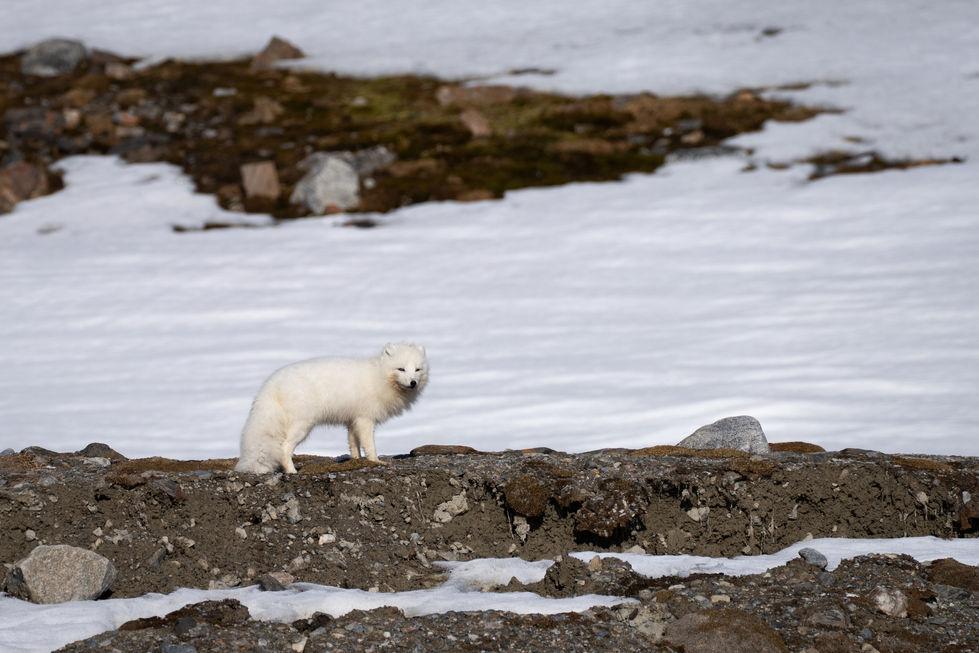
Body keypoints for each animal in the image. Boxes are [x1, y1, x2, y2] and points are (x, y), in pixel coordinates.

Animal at [234, 343, 428, 473]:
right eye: (401, 369)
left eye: (417, 370)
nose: (413, 383)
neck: (379, 377)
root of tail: (270, 384)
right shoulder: (365, 419)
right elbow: (369, 445)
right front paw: (376, 462)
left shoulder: (352, 420)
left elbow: (353, 444)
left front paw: (356, 461)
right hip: (303, 425)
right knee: (284, 448)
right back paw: (292, 472)